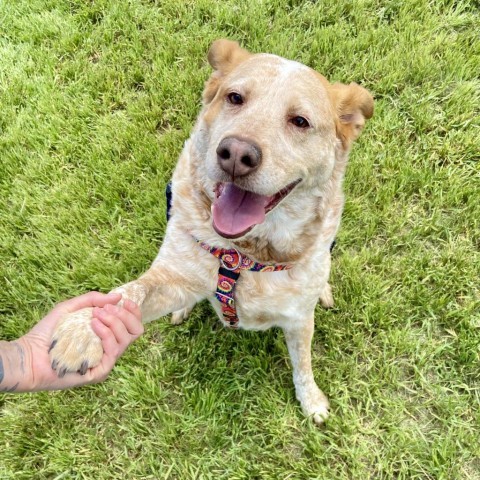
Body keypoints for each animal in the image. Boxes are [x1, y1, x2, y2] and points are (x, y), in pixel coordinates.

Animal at [48, 40, 374, 424]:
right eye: (235, 98)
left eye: (300, 121)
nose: (235, 154)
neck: (245, 255)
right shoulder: (170, 273)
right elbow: (129, 292)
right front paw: (84, 329)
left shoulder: (297, 319)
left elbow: (304, 366)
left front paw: (311, 402)